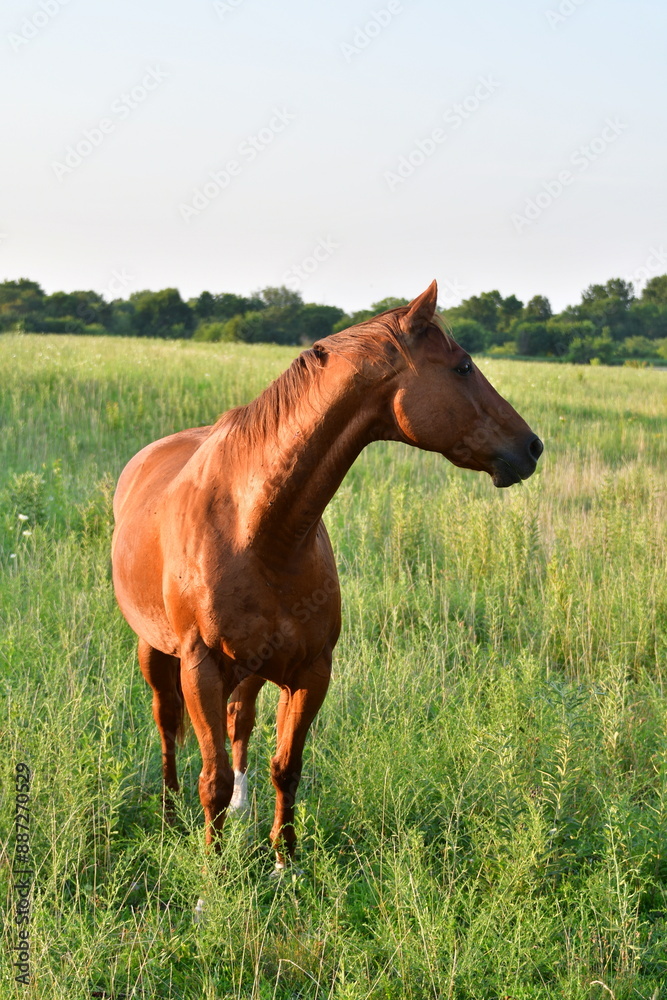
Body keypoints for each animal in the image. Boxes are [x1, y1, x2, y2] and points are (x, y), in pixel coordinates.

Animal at [111, 280, 543, 871]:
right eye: (462, 367)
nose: (531, 447)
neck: (257, 530)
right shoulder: (200, 668)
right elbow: (212, 776)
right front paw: (212, 872)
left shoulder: (311, 672)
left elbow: (285, 767)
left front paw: (284, 863)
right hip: (155, 651)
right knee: (167, 723)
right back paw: (170, 811)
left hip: (250, 667)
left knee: (240, 719)